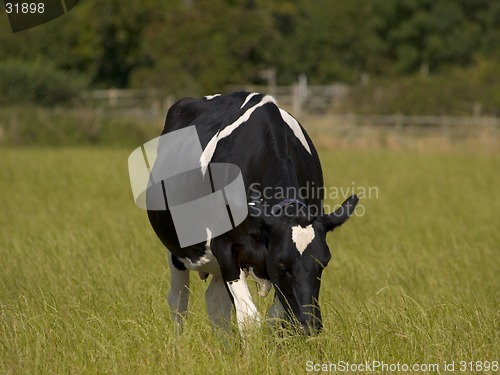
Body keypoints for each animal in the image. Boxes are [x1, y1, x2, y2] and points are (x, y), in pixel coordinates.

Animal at [146, 91, 358, 338]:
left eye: (324, 262)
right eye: (282, 262)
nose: (309, 325)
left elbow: (274, 316)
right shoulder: (227, 248)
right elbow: (248, 319)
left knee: (216, 303)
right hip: (178, 251)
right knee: (179, 301)